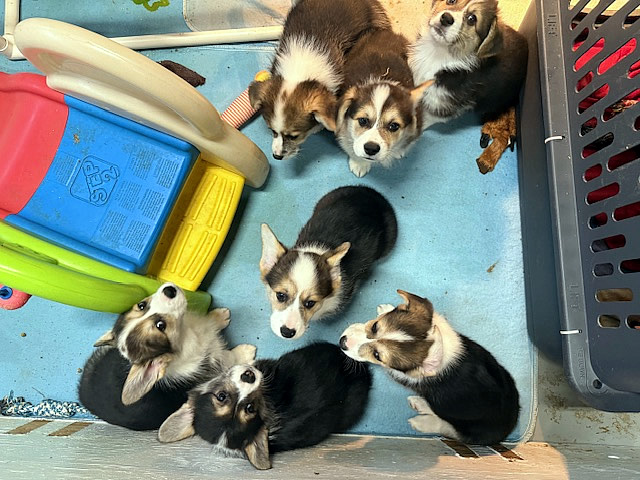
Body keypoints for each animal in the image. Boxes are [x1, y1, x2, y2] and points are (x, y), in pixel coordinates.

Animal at [78, 283, 256, 429]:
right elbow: (229, 357)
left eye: (141, 305)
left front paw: (219, 315)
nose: (169, 290)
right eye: (160, 325)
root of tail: (83, 398)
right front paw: (246, 351)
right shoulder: (212, 361)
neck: (185, 333)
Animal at [336, 28, 433, 177]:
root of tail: (383, 31)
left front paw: (399, 150)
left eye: (394, 126)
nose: (371, 149)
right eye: (363, 120)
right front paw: (359, 164)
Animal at [340, 290, 520, 445]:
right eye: (375, 326)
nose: (342, 342)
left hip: (465, 426)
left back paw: (421, 418)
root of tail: (511, 422)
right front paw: (386, 308)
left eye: (377, 355)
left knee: (447, 425)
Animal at [408, 0, 528, 173]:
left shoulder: (447, 105)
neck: (438, 54)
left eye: (472, 19)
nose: (446, 18)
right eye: (451, 1)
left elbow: (426, 117)